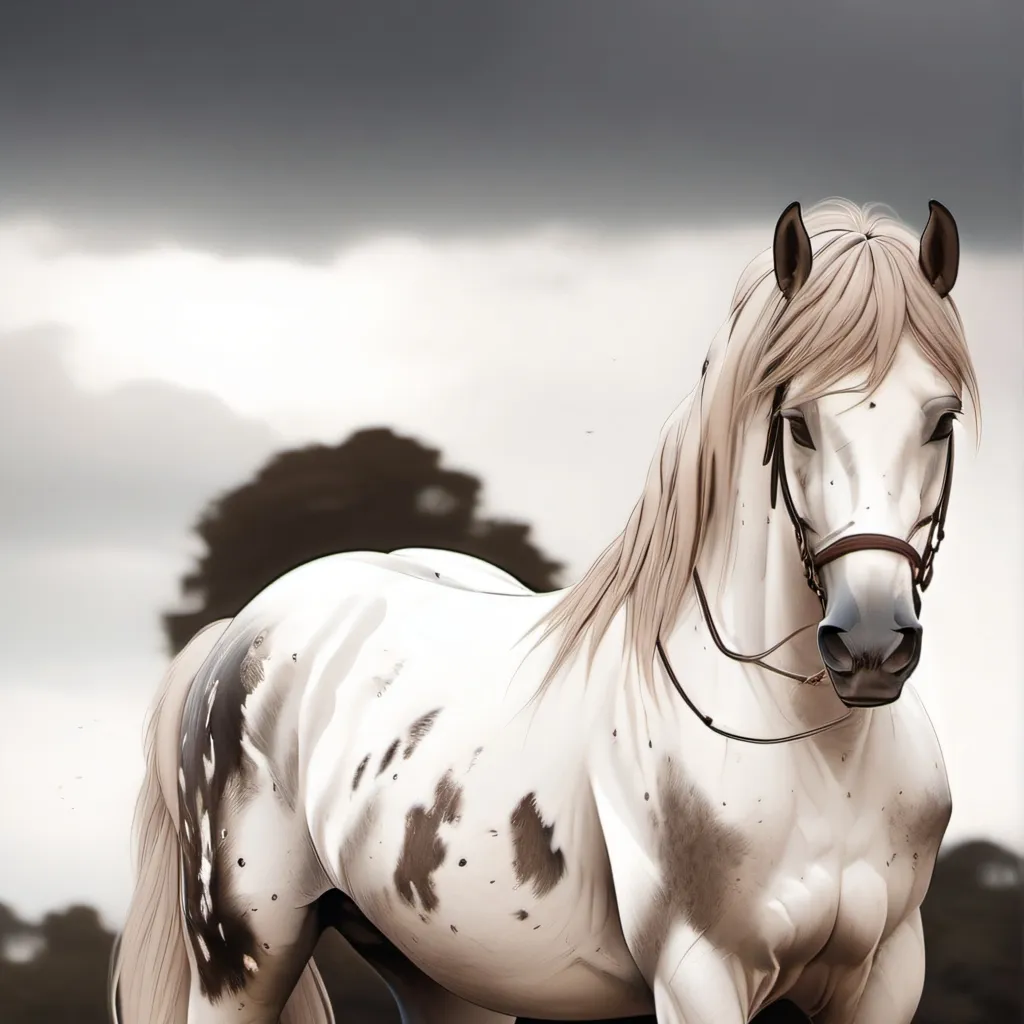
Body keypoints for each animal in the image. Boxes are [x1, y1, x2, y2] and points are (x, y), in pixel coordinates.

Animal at [110, 197, 980, 1024]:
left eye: (942, 419)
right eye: (797, 422)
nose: (870, 645)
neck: (819, 756)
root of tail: (237, 634)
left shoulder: (884, 982)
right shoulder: (699, 976)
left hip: (447, 978)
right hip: (241, 960)